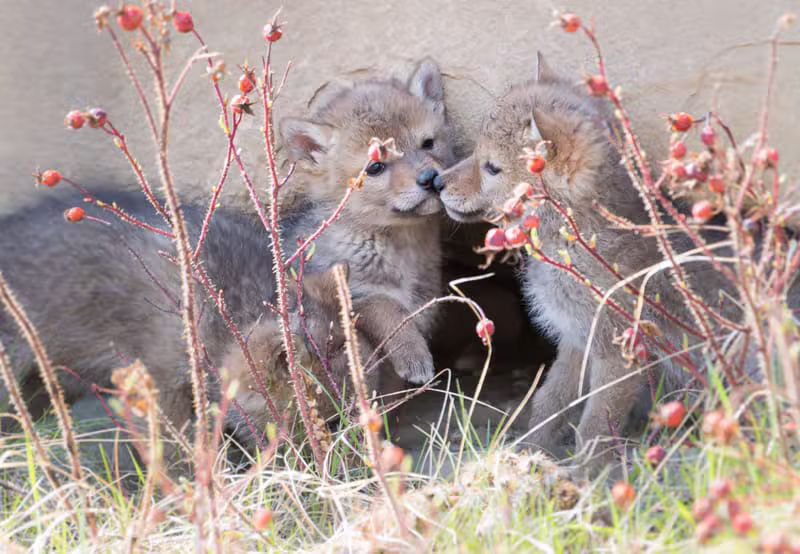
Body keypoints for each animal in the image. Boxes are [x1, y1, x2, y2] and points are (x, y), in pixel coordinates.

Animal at [433, 54, 752, 474]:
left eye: (492, 167)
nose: (435, 181)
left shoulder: (619, 353)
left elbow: (595, 424)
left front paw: (585, 476)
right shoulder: (575, 340)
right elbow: (548, 404)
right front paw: (530, 453)